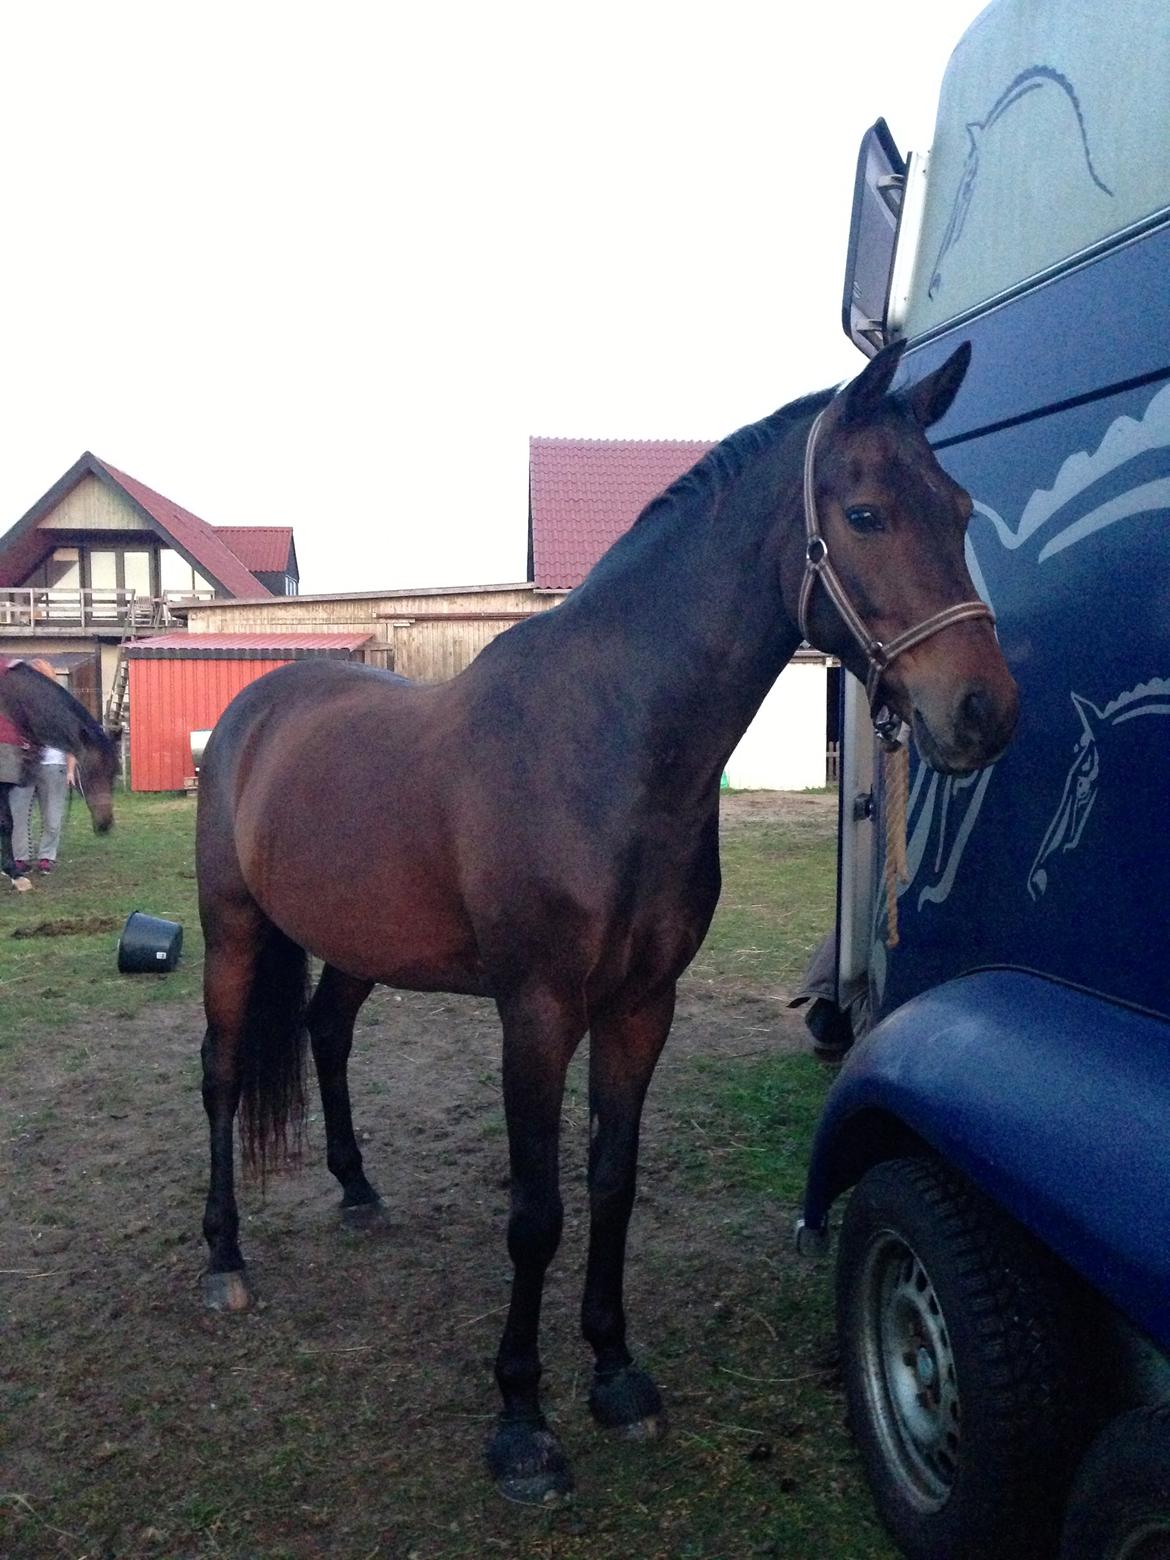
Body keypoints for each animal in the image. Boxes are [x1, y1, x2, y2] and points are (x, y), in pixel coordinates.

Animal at [0, 652, 117, 886]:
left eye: (114, 774)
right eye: (89, 772)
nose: (105, 824)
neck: (12, 706)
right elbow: (7, 824)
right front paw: (15, 874)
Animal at [197, 341, 1023, 1497]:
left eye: (957, 508)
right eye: (864, 514)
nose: (985, 711)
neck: (608, 742)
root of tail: (253, 709)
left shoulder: (642, 1006)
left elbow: (614, 1184)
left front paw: (617, 1374)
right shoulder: (538, 1013)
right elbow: (536, 1213)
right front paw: (521, 1422)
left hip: (359, 942)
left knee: (325, 1032)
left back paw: (357, 1192)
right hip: (231, 932)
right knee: (223, 1077)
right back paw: (224, 1260)